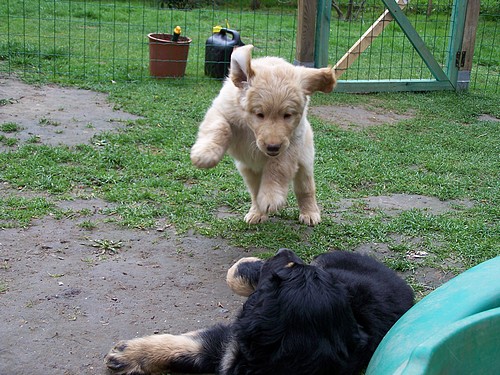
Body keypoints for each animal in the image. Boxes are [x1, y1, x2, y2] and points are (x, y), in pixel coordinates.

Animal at [191, 45, 336, 225]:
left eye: (288, 115)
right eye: (259, 114)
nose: (272, 147)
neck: (251, 129)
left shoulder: (292, 142)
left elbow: (278, 167)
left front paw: (271, 196)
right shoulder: (222, 110)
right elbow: (219, 127)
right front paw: (205, 154)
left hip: (305, 161)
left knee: (305, 188)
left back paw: (310, 213)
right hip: (248, 170)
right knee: (254, 192)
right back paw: (257, 213)